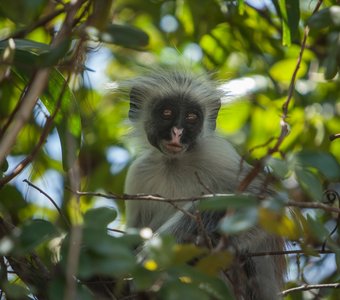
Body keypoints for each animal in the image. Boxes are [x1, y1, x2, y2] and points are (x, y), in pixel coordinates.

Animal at [123, 68, 286, 300]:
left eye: (192, 117)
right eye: (167, 113)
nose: (177, 132)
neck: (174, 163)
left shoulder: (215, 152)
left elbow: (263, 199)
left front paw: (152, 255)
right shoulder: (139, 173)